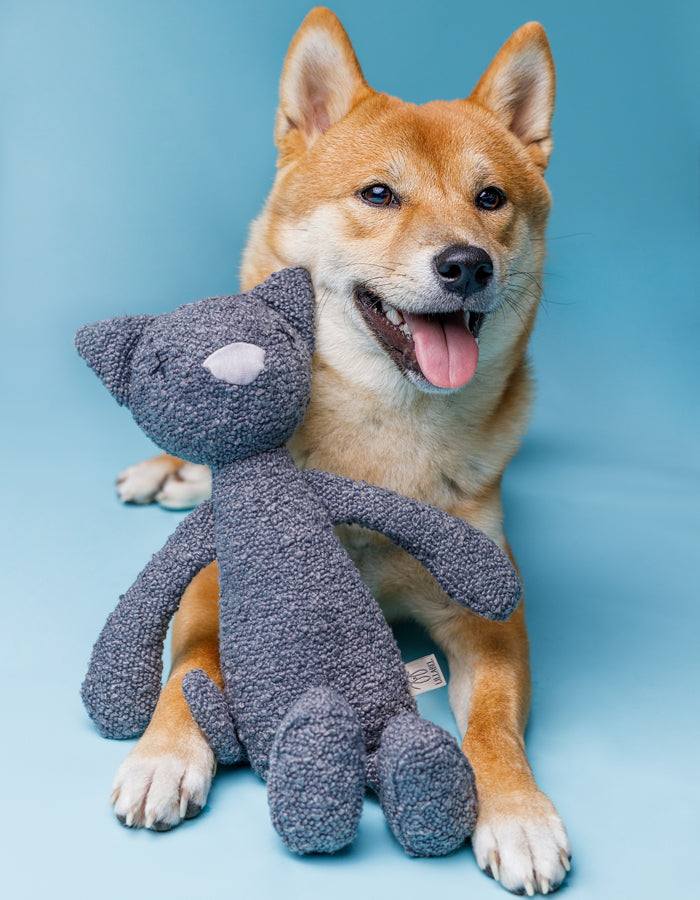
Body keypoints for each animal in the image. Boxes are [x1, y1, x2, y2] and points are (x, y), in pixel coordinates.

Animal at [109, 5, 568, 892]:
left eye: (490, 198)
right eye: (379, 194)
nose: (467, 263)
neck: (381, 441)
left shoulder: (491, 617)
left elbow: (494, 727)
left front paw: (519, 812)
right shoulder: (218, 583)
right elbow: (188, 669)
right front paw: (164, 754)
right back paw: (169, 473)